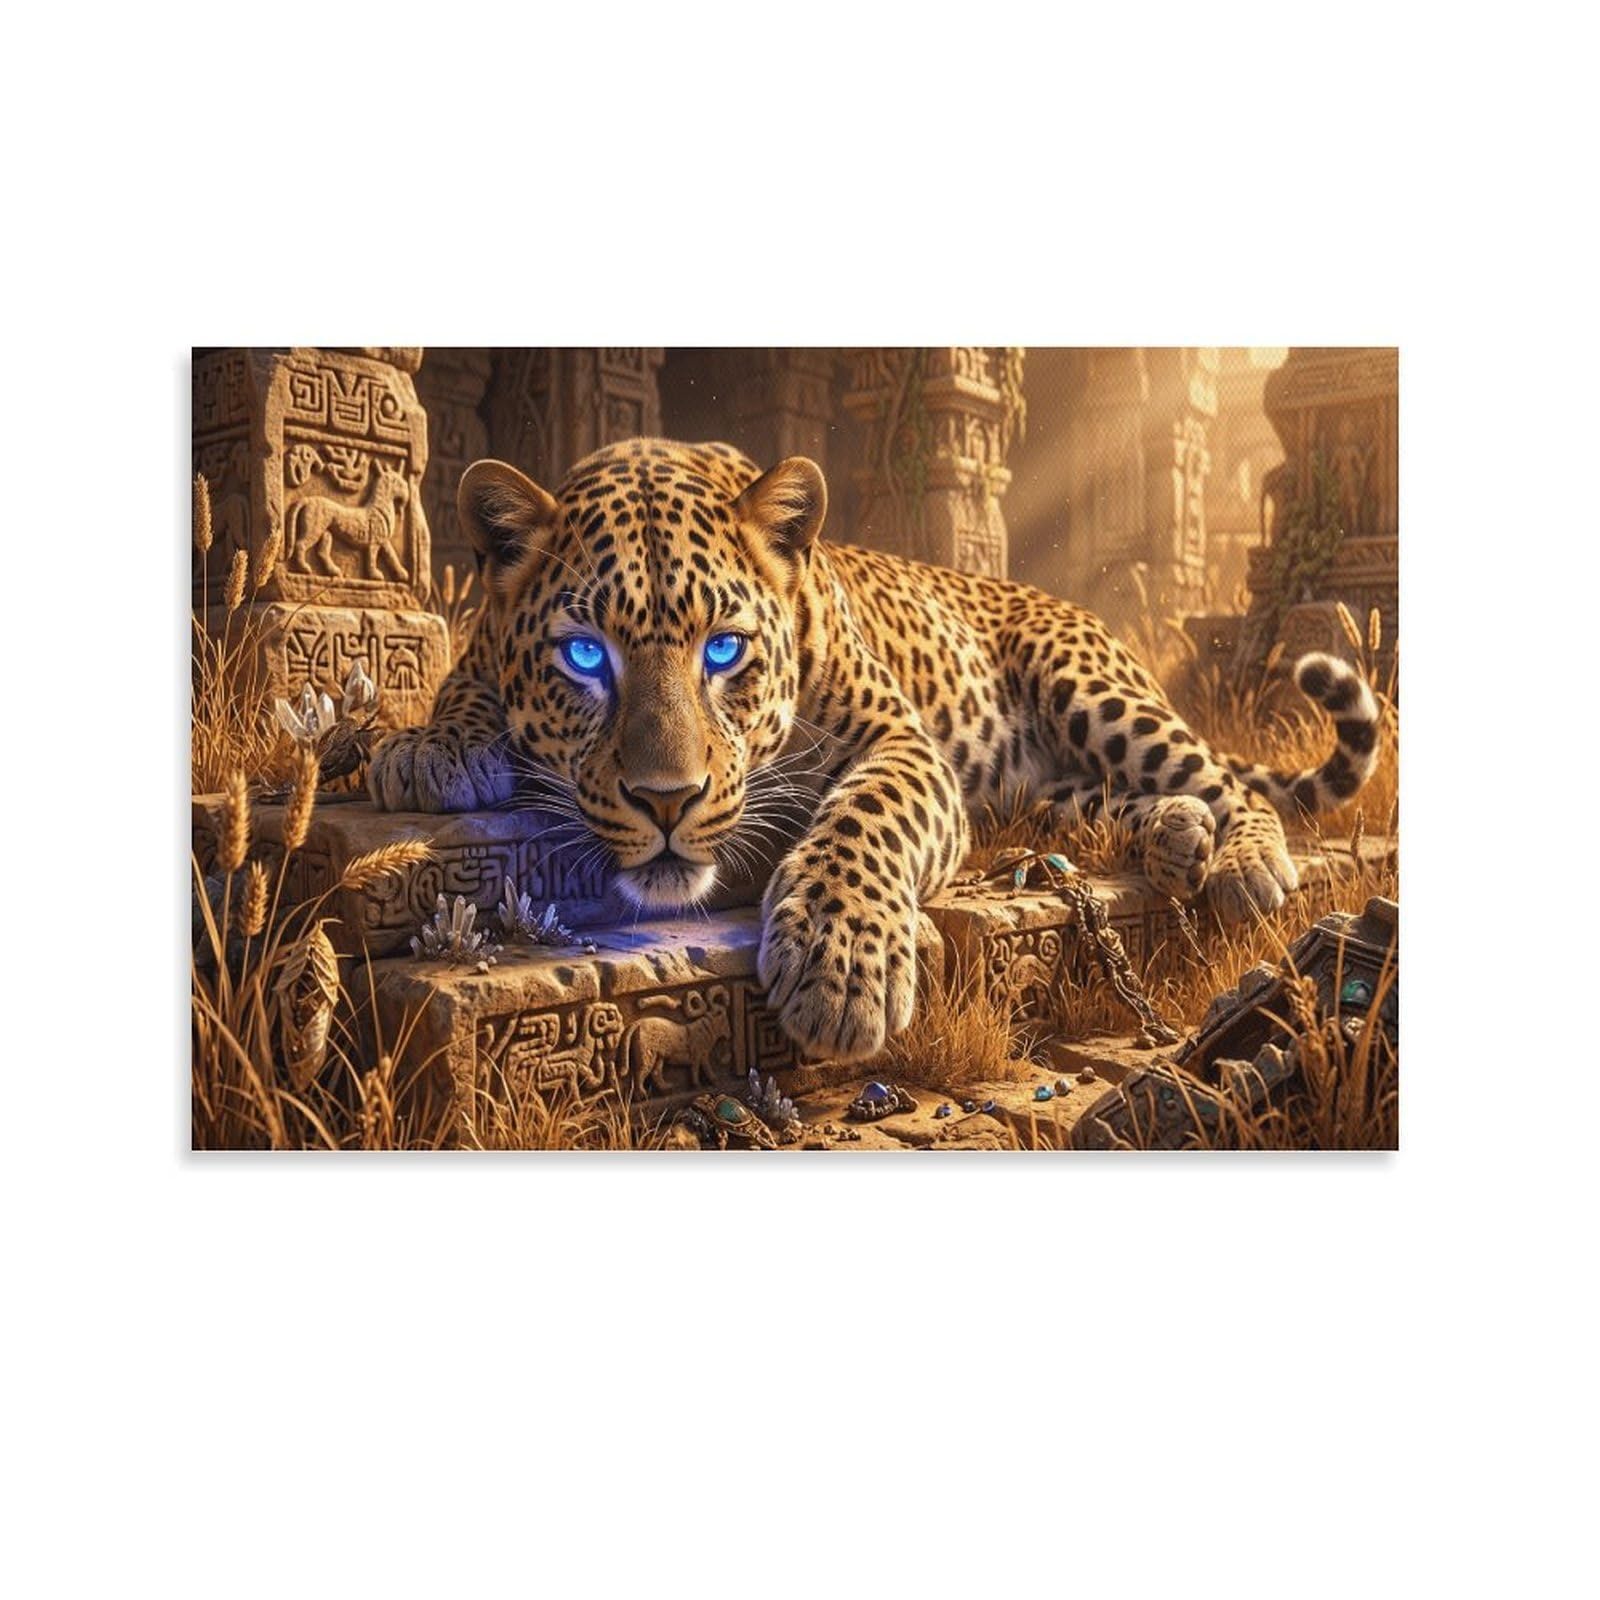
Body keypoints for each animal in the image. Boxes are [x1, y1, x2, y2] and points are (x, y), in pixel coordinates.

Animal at [369, 438, 1381, 1063]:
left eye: (724, 650)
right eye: (585, 655)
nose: (667, 799)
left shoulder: (904, 743)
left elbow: (865, 816)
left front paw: (841, 967)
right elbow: (468, 674)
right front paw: (429, 748)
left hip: (1091, 688)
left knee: (1228, 783)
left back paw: (1243, 862)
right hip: (1037, 795)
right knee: (1100, 804)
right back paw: (1176, 838)